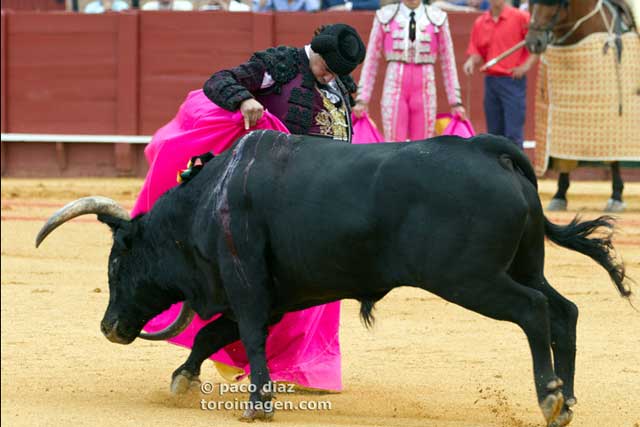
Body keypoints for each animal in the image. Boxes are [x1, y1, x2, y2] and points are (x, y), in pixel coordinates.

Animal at [36, 131, 632, 427]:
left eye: (116, 265)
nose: (110, 326)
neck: (206, 204)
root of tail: (492, 150)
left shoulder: (247, 286)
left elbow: (245, 337)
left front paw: (258, 405)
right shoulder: (270, 296)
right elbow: (211, 335)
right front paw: (183, 379)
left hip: (472, 279)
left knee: (534, 310)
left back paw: (549, 398)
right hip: (522, 263)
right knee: (565, 311)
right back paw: (567, 403)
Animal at [524, 0, 636, 212]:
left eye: (555, 4)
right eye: (531, 3)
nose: (533, 43)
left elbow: (613, 157)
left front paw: (616, 196)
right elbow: (563, 157)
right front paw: (559, 195)